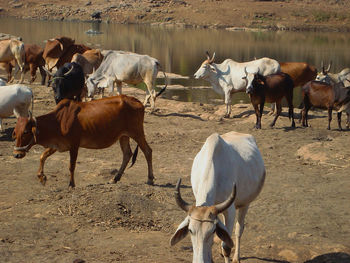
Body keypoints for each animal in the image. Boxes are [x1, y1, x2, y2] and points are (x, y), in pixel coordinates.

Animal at [12, 96, 153, 189]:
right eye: (15, 132)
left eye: (26, 132)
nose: (16, 154)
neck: (58, 121)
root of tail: (138, 101)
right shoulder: (57, 145)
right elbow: (42, 156)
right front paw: (42, 177)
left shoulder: (74, 145)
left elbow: (71, 166)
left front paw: (71, 184)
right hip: (123, 136)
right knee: (127, 154)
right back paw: (115, 178)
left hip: (137, 133)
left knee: (147, 151)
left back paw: (150, 179)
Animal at [170, 132, 266, 263]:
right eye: (190, 230)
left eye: (212, 231)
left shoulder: (230, 211)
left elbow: (226, 246)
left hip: (246, 204)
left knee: (239, 230)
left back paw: (236, 257)